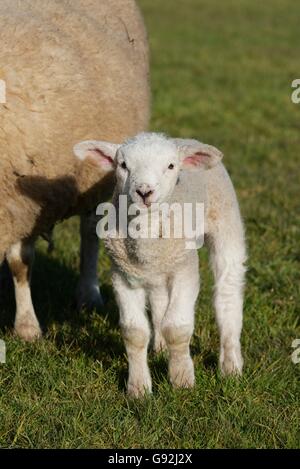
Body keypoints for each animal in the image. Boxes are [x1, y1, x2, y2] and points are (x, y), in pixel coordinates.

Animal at [0, 1, 150, 342]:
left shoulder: (20, 200)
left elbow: (20, 262)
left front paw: (27, 328)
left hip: (97, 174)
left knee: (90, 232)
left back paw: (88, 294)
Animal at [74, 133, 247, 398]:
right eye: (123, 165)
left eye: (171, 166)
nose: (144, 191)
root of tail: (185, 139)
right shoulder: (122, 275)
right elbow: (134, 333)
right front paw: (138, 389)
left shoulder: (185, 270)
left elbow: (177, 328)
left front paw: (182, 379)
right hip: (157, 271)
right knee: (158, 301)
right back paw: (161, 348)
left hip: (226, 220)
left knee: (227, 292)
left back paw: (230, 365)